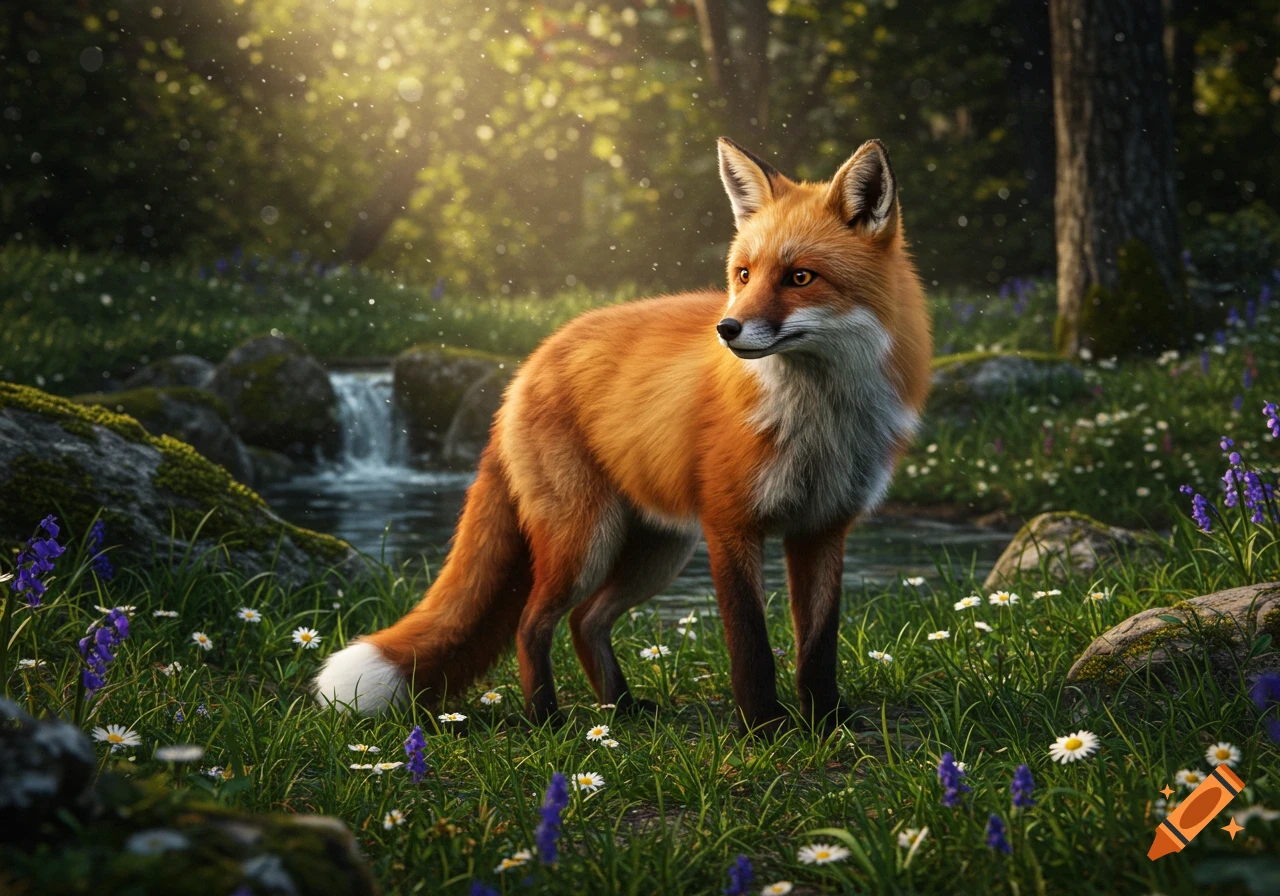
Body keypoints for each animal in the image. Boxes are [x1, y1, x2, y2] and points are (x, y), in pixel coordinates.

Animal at [315, 137, 932, 731]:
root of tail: (529, 364)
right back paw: (547, 721)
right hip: (586, 540)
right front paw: (763, 729)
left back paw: (620, 710)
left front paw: (827, 722)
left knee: (586, 621)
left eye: (800, 277)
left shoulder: (823, 528)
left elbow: (818, 649)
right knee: (532, 623)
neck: (820, 418)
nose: (726, 328)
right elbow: (751, 646)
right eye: (744, 275)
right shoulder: (730, 525)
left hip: (656, 550)